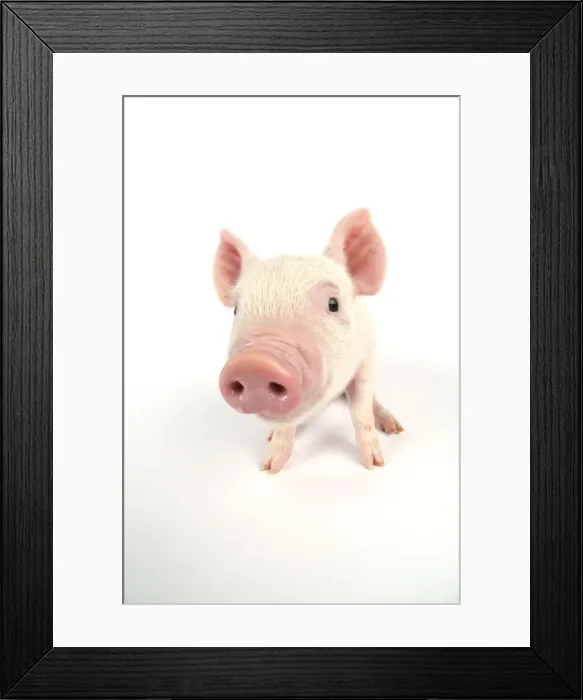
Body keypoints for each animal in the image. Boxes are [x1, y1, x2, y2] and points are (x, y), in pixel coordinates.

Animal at [213, 208, 404, 473]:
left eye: (333, 304)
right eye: (236, 310)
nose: (255, 363)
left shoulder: (366, 358)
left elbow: (361, 411)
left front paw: (374, 465)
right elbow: (285, 427)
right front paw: (269, 468)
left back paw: (395, 428)